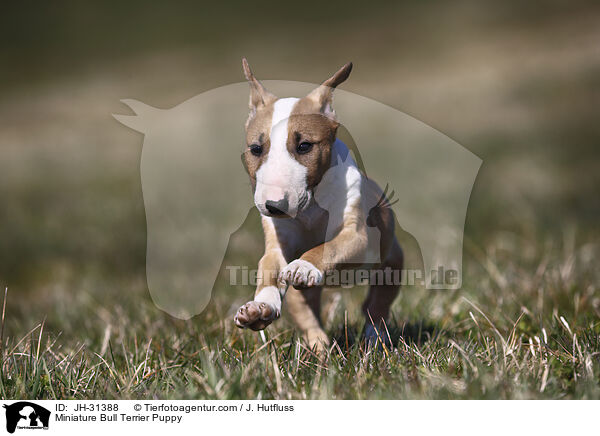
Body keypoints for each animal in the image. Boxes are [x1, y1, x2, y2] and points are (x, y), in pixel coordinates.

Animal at [234, 58, 404, 350]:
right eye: (256, 149)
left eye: (304, 145)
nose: (274, 206)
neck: (310, 208)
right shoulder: (278, 244)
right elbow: (268, 268)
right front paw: (259, 307)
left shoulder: (357, 237)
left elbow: (328, 247)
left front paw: (303, 265)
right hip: (302, 297)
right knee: (309, 315)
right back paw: (319, 348)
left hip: (391, 262)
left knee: (376, 306)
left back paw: (375, 338)